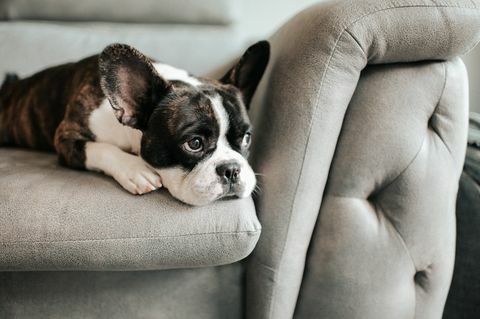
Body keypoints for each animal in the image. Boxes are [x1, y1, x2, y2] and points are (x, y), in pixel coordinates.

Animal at [0, 41, 270, 206]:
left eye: (247, 138)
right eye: (194, 143)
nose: (232, 169)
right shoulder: (66, 136)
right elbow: (100, 148)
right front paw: (134, 169)